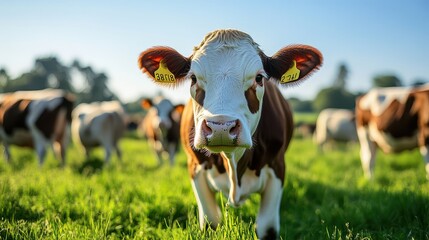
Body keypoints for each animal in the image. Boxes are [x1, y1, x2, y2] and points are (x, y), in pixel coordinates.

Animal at [137, 29, 320, 239]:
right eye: (193, 78)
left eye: (259, 78)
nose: (220, 127)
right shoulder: (195, 167)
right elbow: (210, 222)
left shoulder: (277, 166)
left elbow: (267, 227)